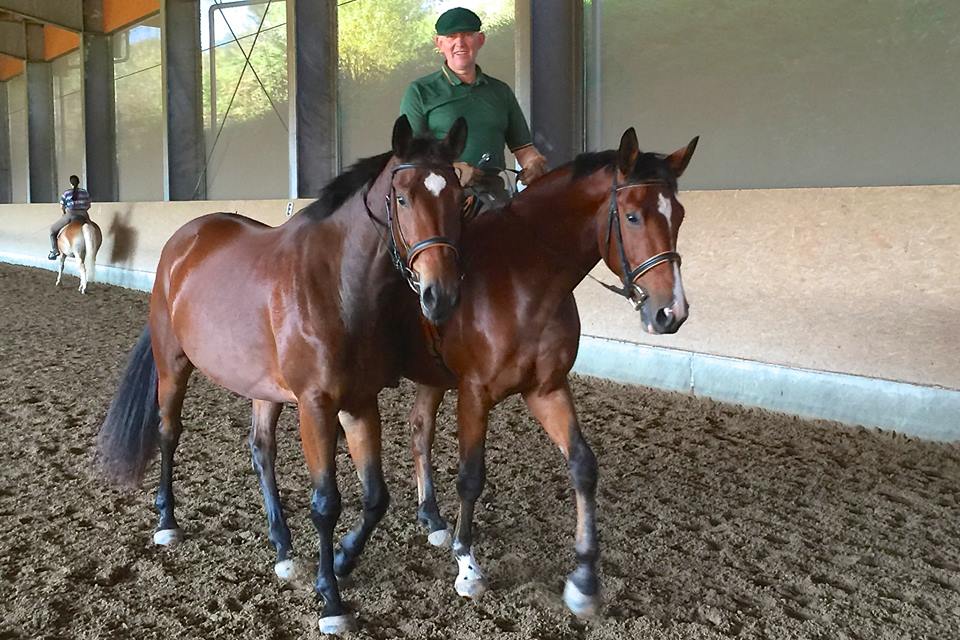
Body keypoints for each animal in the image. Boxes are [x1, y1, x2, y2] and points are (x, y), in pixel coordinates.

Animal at [96, 116, 468, 636]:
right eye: (402, 198)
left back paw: (283, 547)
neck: (337, 286)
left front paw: (341, 560)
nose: (441, 296)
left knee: (261, 451)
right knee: (169, 433)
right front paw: (331, 600)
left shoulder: (360, 402)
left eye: (458, 196)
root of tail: (185, 239)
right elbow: (327, 503)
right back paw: (167, 522)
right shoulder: (315, 405)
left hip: (263, 389)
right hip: (173, 366)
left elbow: (375, 498)